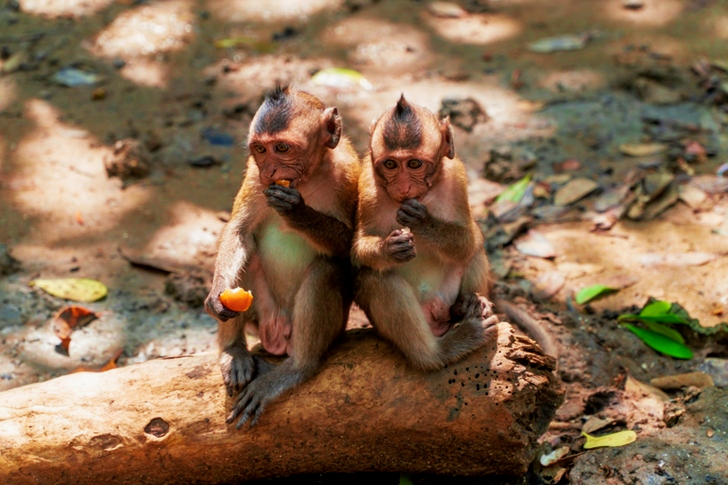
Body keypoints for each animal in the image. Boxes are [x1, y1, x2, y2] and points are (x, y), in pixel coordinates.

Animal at [205, 86, 360, 428]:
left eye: (283, 148)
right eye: (260, 150)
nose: (270, 170)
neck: (309, 178)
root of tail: (278, 333)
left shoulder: (350, 175)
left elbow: (352, 250)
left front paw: (298, 212)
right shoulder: (254, 177)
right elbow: (239, 231)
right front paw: (216, 294)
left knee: (326, 269)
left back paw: (297, 368)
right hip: (260, 312)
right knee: (247, 255)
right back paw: (234, 351)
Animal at [351, 95, 499, 371]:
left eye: (414, 164)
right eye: (390, 164)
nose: (403, 187)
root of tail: (436, 313)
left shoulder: (456, 175)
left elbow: (467, 239)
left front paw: (422, 220)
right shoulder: (366, 183)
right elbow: (357, 250)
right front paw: (391, 248)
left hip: (447, 293)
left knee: (475, 246)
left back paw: (468, 304)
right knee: (377, 278)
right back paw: (440, 352)